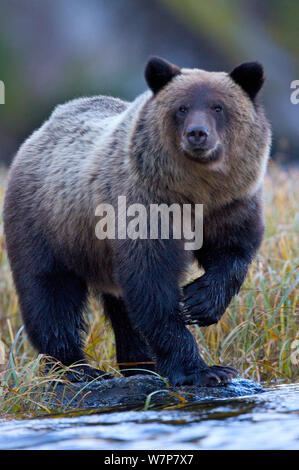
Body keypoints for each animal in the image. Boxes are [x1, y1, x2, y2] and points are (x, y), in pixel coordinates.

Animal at [2, 57, 272, 386]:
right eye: (182, 107)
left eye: (218, 106)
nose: (197, 133)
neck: (195, 191)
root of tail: (40, 130)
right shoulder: (145, 206)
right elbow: (152, 285)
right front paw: (203, 370)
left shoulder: (232, 204)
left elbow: (233, 252)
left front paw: (200, 302)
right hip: (47, 224)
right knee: (50, 294)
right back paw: (77, 368)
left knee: (121, 309)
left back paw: (141, 364)